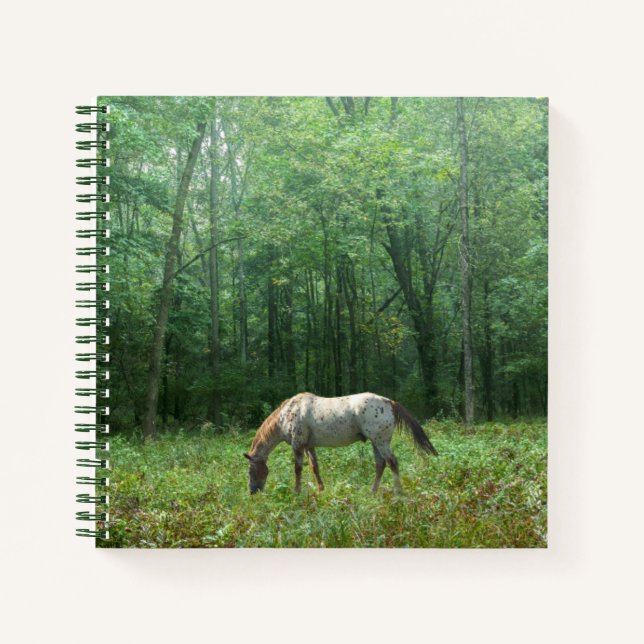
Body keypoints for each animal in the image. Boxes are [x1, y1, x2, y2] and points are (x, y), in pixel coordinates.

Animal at [244, 392, 438, 494]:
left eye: (250, 471)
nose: (252, 491)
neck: (286, 414)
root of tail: (389, 402)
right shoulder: (309, 446)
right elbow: (314, 467)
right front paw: (321, 489)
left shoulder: (297, 445)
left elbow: (297, 469)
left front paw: (296, 492)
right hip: (376, 442)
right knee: (380, 465)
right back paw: (372, 491)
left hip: (381, 442)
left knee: (392, 463)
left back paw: (397, 492)